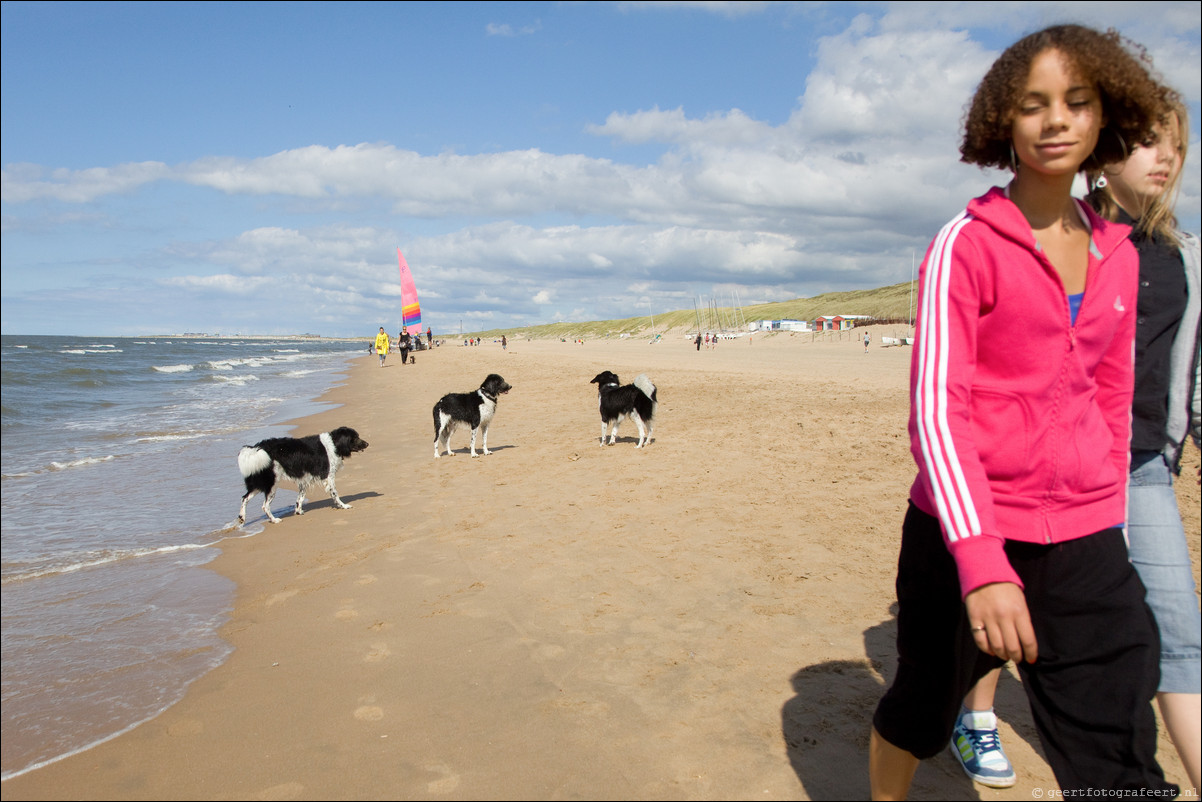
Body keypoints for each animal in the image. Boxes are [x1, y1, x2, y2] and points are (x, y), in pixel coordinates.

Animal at [234, 425, 365, 526]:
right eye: (355, 438)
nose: (367, 443)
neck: (334, 444)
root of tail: (258, 447)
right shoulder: (328, 477)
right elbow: (335, 494)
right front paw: (343, 506)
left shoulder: (304, 479)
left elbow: (300, 498)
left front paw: (298, 511)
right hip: (271, 484)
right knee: (264, 506)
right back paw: (274, 520)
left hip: (259, 482)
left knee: (244, 498)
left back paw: (242, 517)